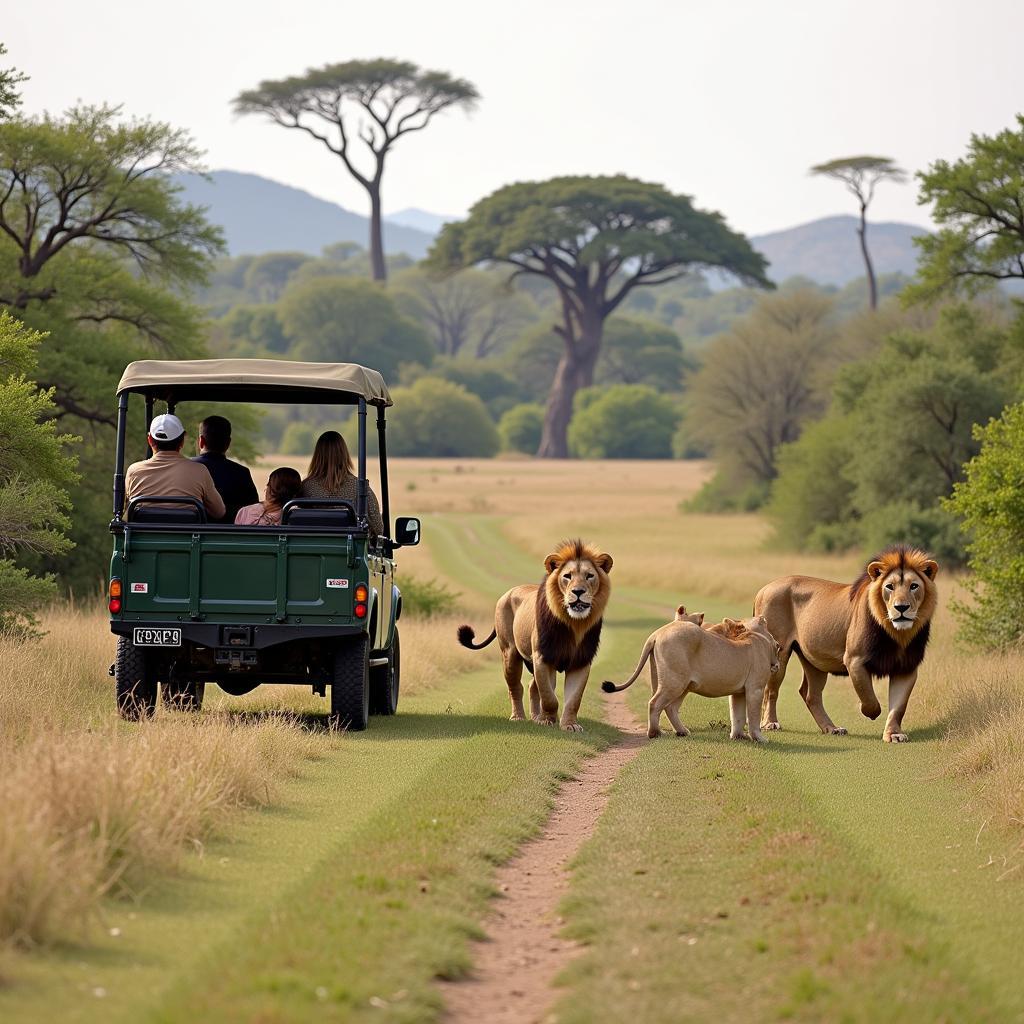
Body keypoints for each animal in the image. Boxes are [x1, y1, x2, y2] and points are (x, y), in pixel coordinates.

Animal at [458, 540, 614, 733]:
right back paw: (518, 717)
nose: (578, 591)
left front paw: (569, 724)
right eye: (567, 576)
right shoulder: (543, 658)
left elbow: (573, 700)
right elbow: (549, 696)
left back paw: (535, 717)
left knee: (533, 686)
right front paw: (547, 721)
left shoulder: (581, 662)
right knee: (516, 687)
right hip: (510, 653)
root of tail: (508, 592)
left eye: (589, 576)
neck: (573, 624)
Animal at [753, 544, 937, 745]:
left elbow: (898, 707)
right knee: (770, 690)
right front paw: (867, 712)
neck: (897, 634)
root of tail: (763, 589)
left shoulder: (906, 668)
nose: (901, 607)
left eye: (914, 586)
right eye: (890, 586)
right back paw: (770, 723)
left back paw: (831, 728)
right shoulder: (854, 659)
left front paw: (894, 734)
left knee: (810, 695)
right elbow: (869, 698)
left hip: (815, 661)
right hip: (780, 652)